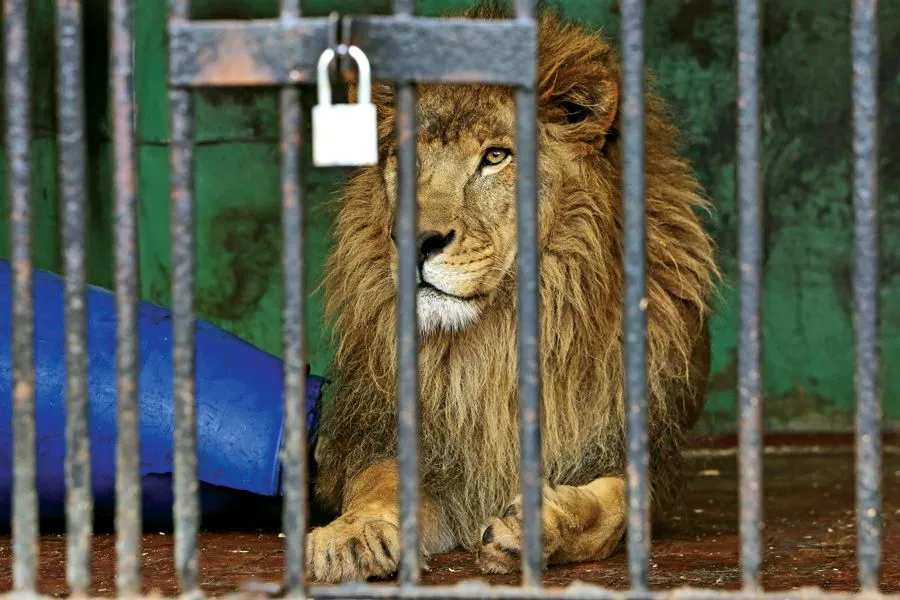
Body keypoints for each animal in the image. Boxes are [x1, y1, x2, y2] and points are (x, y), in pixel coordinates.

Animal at [306, 2, 719, 584]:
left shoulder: (637, 451)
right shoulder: (384, 432)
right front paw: (355, 535)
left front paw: (543, 525)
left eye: (497, 157)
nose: (415, 240)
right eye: (406, 157)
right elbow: (381, 481)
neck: (501, 335)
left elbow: (615, 506)